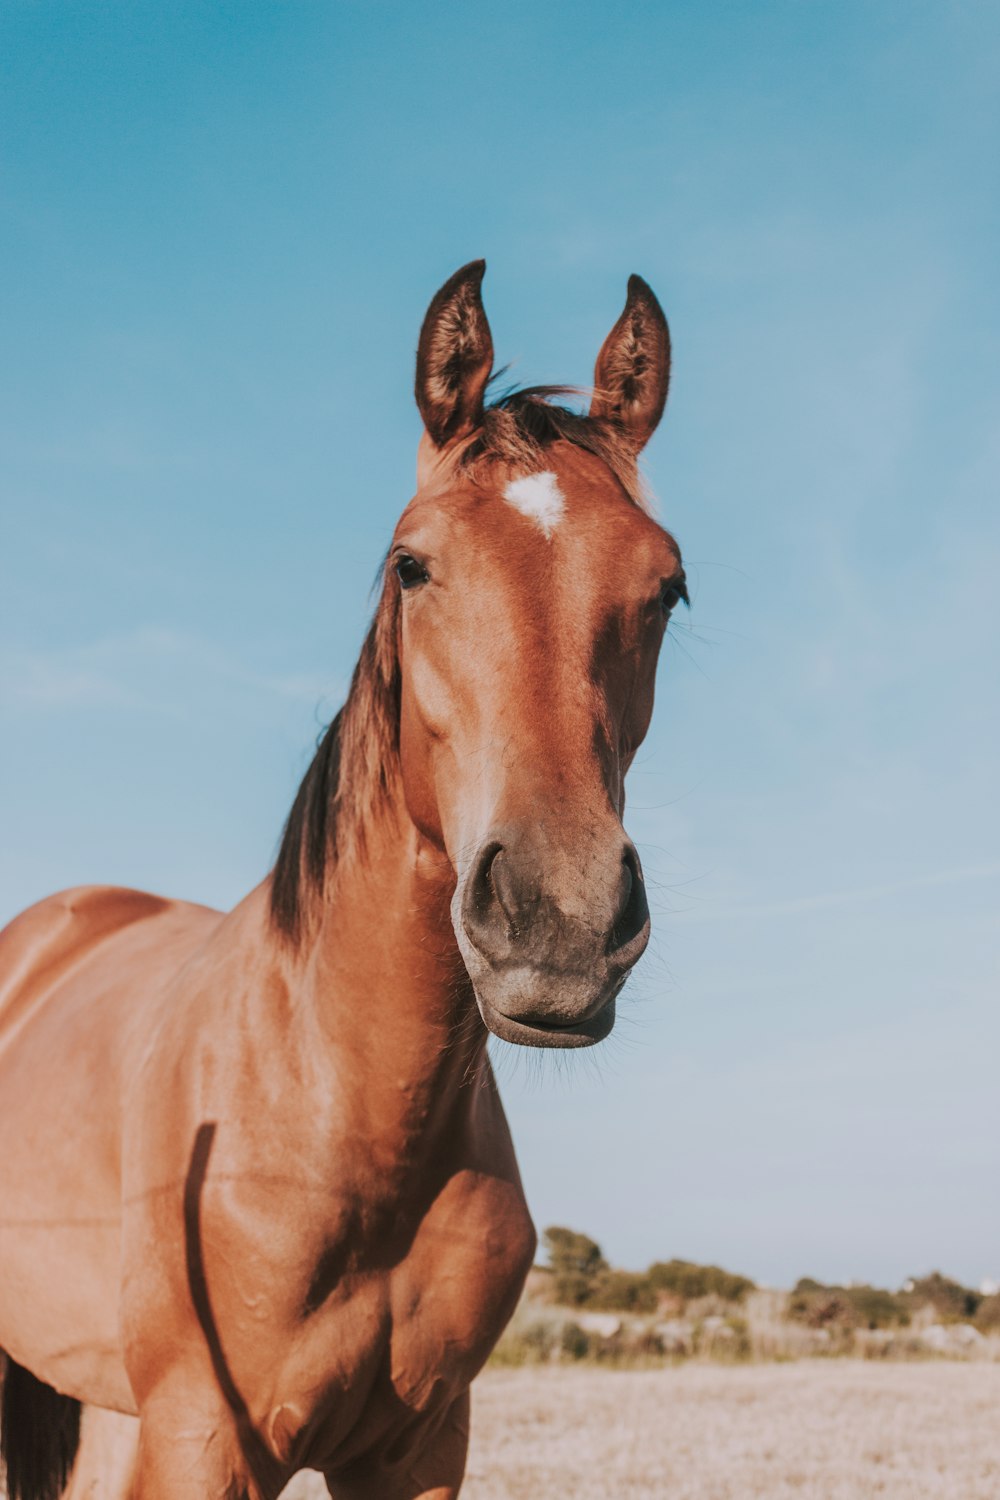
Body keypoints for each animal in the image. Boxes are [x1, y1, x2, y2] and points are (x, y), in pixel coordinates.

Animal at [0, 264, 689, 1494]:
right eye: (412, 564)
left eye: (668, 588)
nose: (557, 923)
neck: (337, 1114)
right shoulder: (198, 1439)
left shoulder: (421, 1447)